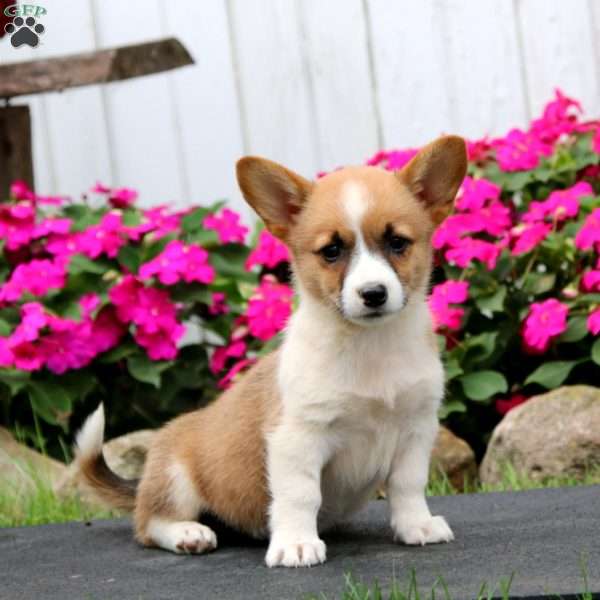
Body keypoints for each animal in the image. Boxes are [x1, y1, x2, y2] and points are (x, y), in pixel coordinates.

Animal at [75, 136, 466, 568]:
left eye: (397, 243)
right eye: (331, 251)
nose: (373, 294)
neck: (370, 344)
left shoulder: (415, 429)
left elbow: (407, 484)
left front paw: (418, 526)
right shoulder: (299, 436)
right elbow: (301, 495)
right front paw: (297, 543)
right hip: (176, 478)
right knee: (149, 524)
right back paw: (189, 533)